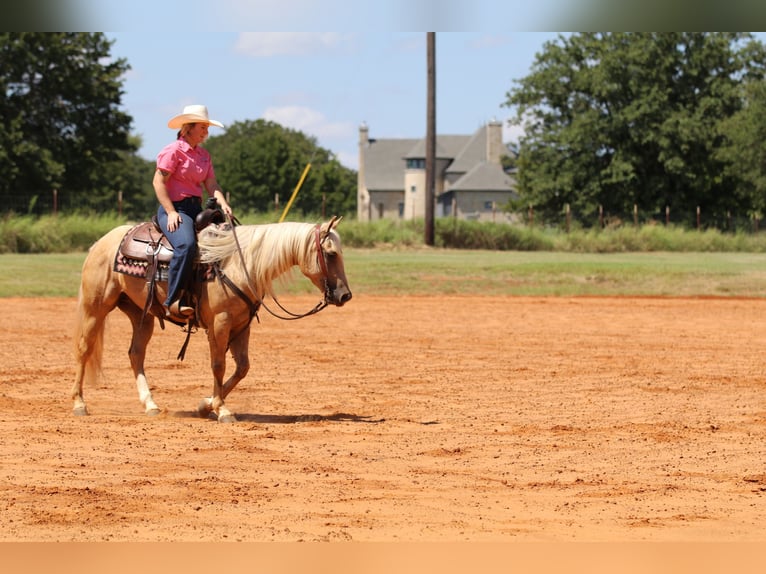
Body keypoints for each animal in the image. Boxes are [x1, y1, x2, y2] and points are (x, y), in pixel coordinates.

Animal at [71, 217, 351, 422]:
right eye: (330, 254)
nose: (345, 295)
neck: (240, 265)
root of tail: (101, 242)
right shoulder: (220, 323)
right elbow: (219, 365)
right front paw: (222, 409)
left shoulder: (242, 325)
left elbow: (242, 368)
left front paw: (205, 405)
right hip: (95, 307)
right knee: (84, 349)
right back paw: (79, 403)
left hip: (141, 314)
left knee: (135, 354)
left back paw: (150, 404)